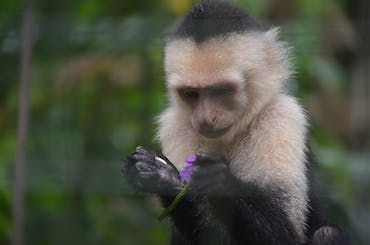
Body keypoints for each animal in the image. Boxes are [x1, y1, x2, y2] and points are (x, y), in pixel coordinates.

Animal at [123, 0, 350, 244]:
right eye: (192, 93)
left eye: (221, 91)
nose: (206, 118)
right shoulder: (174, 127)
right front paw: (163, 177)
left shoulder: (281, 117)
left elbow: (287, 235)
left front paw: (219, 182)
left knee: (327, 233)